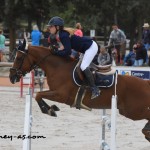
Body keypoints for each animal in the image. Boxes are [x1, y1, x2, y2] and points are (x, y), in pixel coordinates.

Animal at [9, 39, 150, 142]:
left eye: (19, 58)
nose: (11, 77)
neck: (58, 67)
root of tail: (145, 83)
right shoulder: (55, 92)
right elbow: (39, 95)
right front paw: (52, 108)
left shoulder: (61, 95)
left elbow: (38, 94)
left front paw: (49, 110)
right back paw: (147, 132)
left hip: (133, 111)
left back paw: (147, 132)